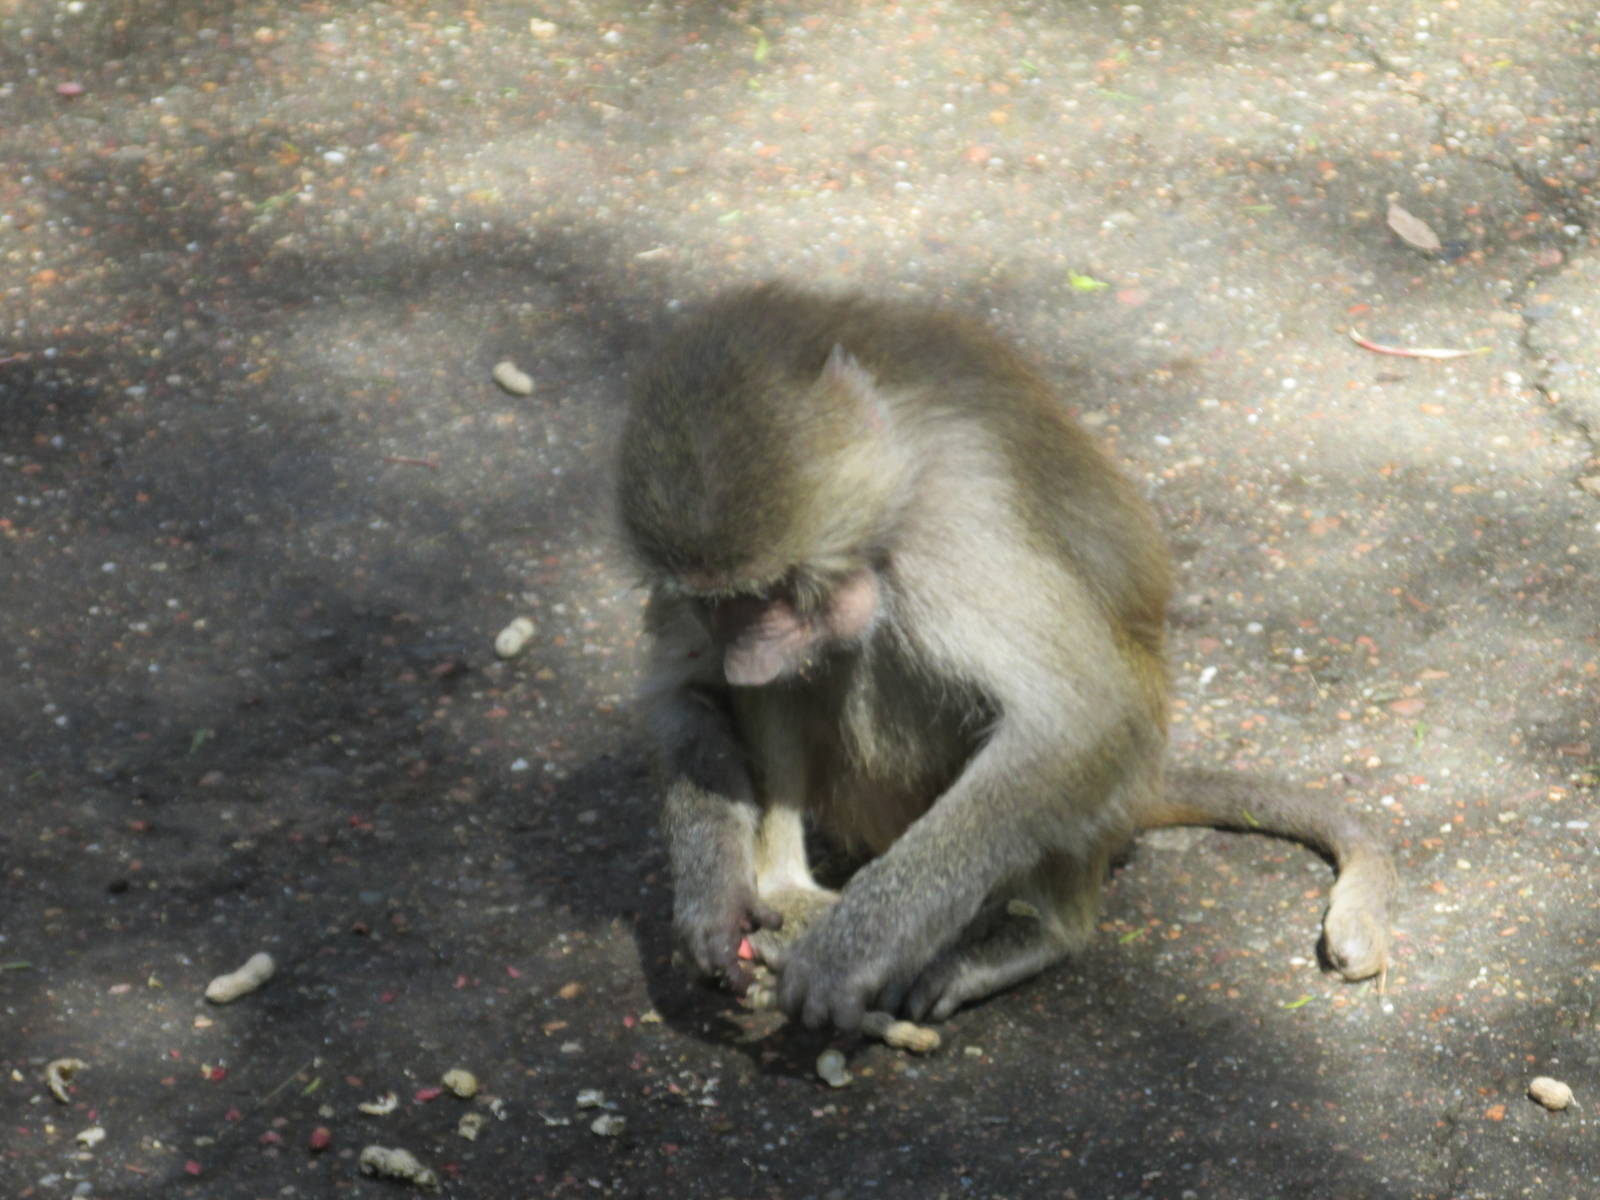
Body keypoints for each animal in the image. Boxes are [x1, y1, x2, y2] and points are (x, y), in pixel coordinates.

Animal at [616, 282, 1396, 1035]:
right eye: (719, 603)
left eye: (773, 592)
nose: (746, 658)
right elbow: (688, 692)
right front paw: (714, 903)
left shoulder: (958, 531)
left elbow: (1083, 715)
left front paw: (853, 952)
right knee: (796, 684)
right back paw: (784, 887)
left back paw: (1038, 934)